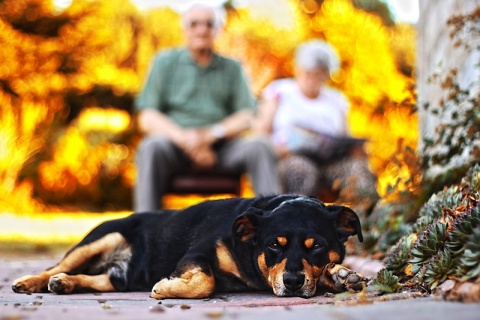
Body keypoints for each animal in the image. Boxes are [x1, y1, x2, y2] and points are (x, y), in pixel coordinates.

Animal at [12, 194, 368, 298]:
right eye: (273, 245)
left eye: (317, 246)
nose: (293, 282)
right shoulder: (198, 253)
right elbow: (204, 280)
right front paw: (167, 288)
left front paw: (341, 274)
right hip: (104, 237)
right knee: (57, 264)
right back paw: (30, 282)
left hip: (118, 278)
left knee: (96, 280)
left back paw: (64, 284)